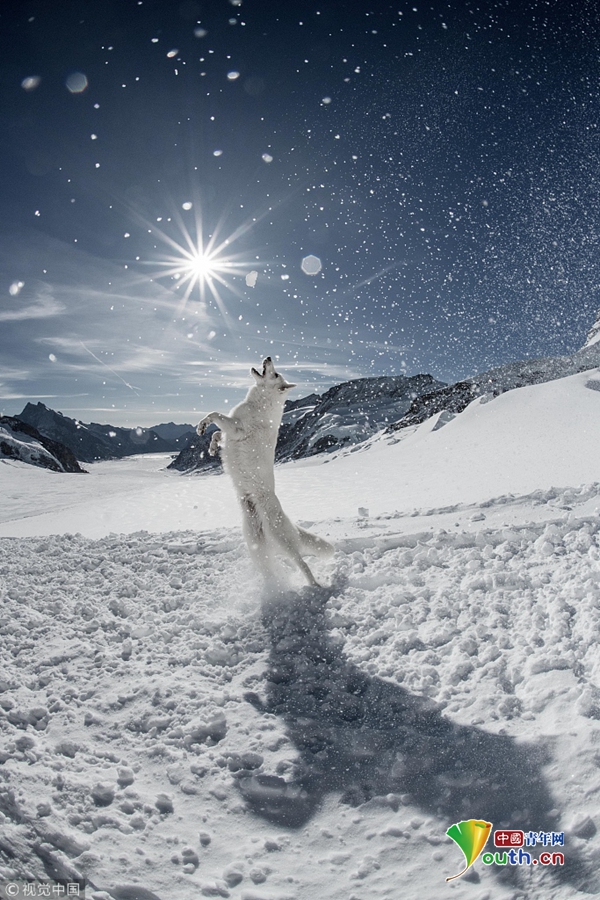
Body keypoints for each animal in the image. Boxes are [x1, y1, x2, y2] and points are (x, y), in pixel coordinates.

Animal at [198, 356, 332, 588]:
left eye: (275, 373)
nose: (268, 358)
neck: (260, 402)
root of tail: (292, 525)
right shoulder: (230, 431)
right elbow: (216, 433)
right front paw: (212, 447)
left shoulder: (235, 427)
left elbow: (214, 415)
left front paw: (202, 426)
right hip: (256, 545)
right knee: (274, 567)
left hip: (281, 541)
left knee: (303, 564)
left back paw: (314, 586)